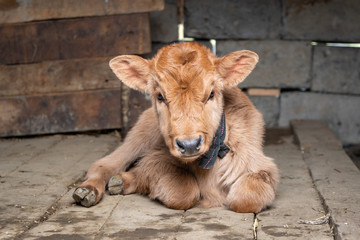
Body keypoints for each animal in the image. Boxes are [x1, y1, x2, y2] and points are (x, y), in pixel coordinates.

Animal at [72, 42, 278, 213]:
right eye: (160, 96)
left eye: (211, 93)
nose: (189, 145)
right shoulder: (157, 159)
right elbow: (182, 192)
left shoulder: (261, 166)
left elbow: (247, 197)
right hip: (139, 137)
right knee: (105, 164)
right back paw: (87, 191)